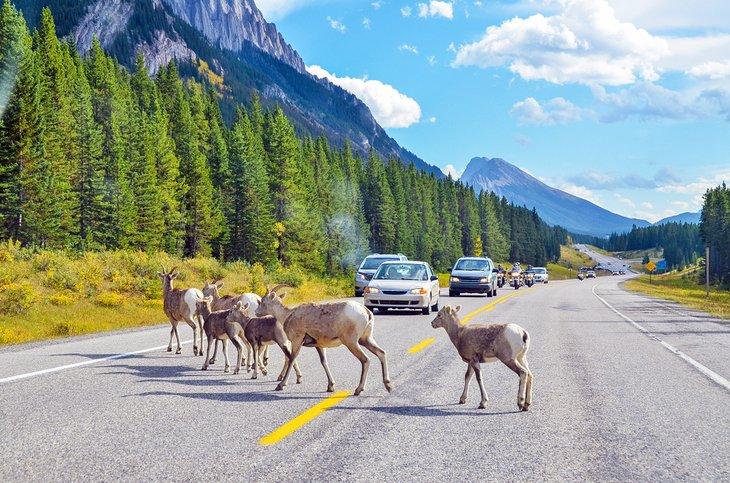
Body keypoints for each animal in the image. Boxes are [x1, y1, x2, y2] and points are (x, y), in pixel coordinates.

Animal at [256, 284, 392, 395]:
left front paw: (280, 385)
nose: (257, 312)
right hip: (366, 339)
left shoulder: (297, 341)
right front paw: (330, 386)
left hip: (351, 342)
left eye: (262, 301)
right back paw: (388, 386)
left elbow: (291, 359)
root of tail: (367, 312)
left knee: (365, 360)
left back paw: (358, 390)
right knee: (381, 353)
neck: (288, 315)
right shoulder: (319, 345)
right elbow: (324, 362)